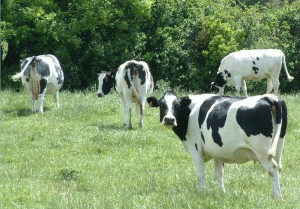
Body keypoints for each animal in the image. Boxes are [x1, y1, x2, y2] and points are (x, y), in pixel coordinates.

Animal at [148, 91, 288, 199]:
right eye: (161, 105)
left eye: (177, 105)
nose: (169, 119)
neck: (189, 112)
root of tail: (269, 98)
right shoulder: (217, 152)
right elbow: (219, 173)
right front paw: (222, 193)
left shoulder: (195, 149)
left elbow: (201, 174)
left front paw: (202, 193)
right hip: (279, 145)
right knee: (278, 168)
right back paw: (274, 194)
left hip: (262, 151)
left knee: (272, 169)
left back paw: (278, 197)